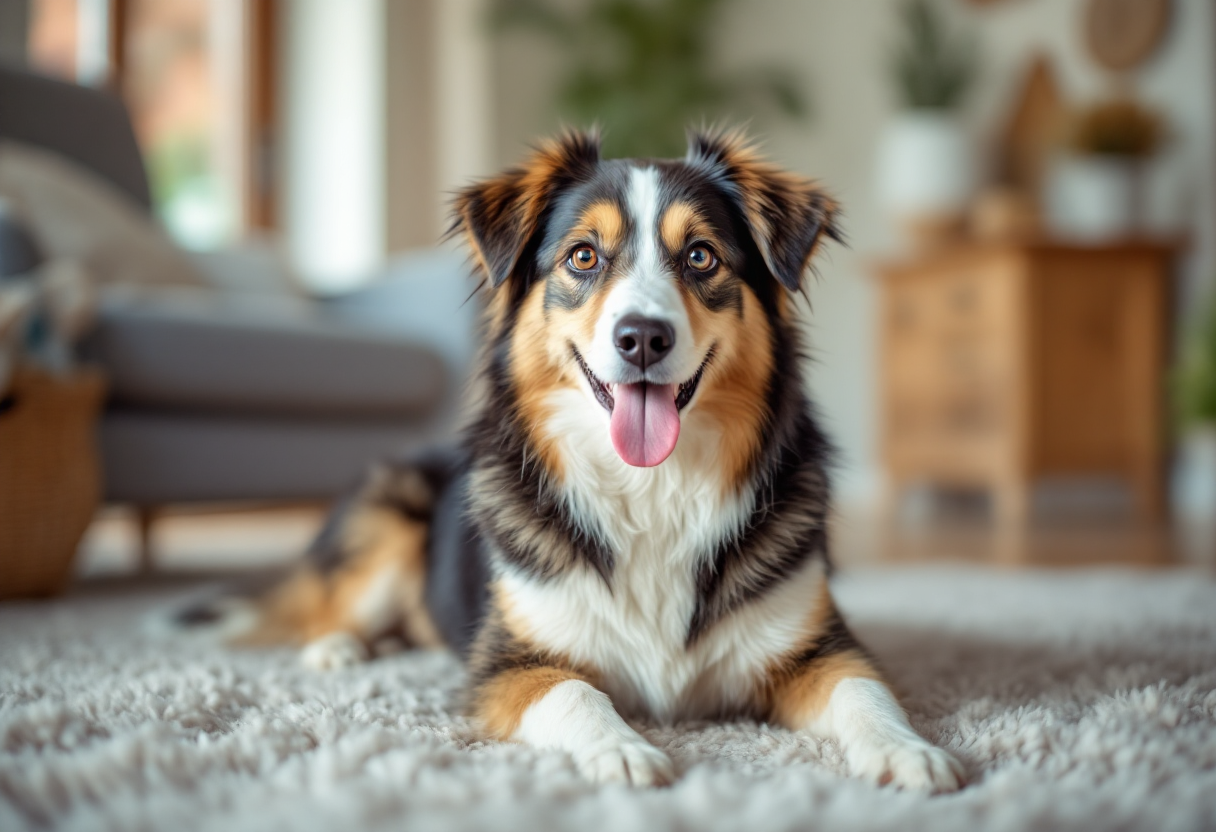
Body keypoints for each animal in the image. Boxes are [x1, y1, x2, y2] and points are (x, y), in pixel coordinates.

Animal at [179, 128, 963, 793]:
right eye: (583, 256)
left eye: (701, 256)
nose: (641, 337)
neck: (652, 489)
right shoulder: (510, 663)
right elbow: (575, 692)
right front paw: (622, 749)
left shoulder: (818, 646)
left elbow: (867, 691)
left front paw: (910, 751)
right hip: (389, 516)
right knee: (328, 608)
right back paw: (338, 650)